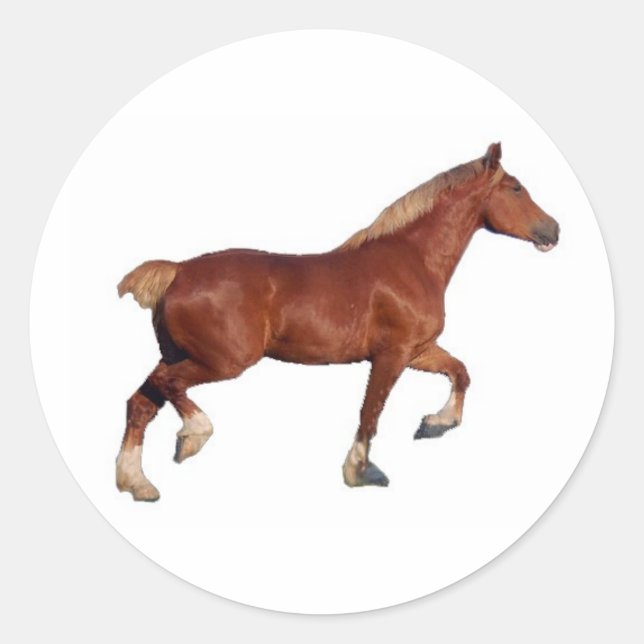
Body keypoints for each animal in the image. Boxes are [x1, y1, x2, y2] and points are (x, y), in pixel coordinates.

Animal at [116, 142, 559, 502]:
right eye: (516, 188)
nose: (553, 229)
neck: (413, 260)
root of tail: (177, 272)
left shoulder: (419, 351)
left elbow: (460, 372)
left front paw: (434, 424)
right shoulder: (392, 354)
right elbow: (371, 412)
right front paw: (361, 471)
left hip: (181, 354)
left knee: (140, 402)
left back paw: (137, 484)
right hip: (223, 361)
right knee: (167, 387)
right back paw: (191, 438)